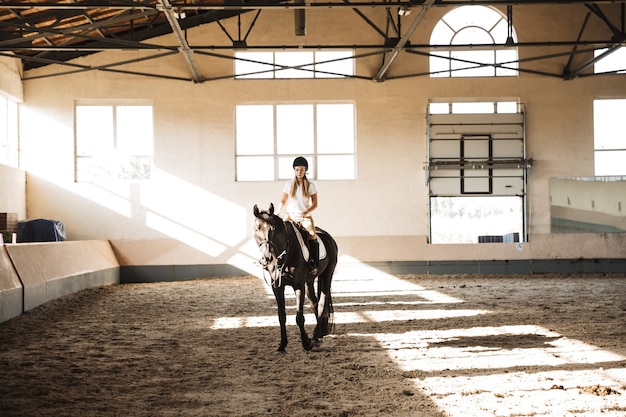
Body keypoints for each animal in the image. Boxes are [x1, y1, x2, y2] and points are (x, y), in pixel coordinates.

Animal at [251, 202, 336, 352]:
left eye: (272, 229)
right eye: (256, 229)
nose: (266, 258)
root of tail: (328, 237)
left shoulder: (298, 286)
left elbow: (299, 316)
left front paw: (306, 342)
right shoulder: (277, 287)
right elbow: (281, 316)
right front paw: (282, 344)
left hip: (327, 275)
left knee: (321, 303)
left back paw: (315, 335)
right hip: (309, 282)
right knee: (314, 303)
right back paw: (318, 335)